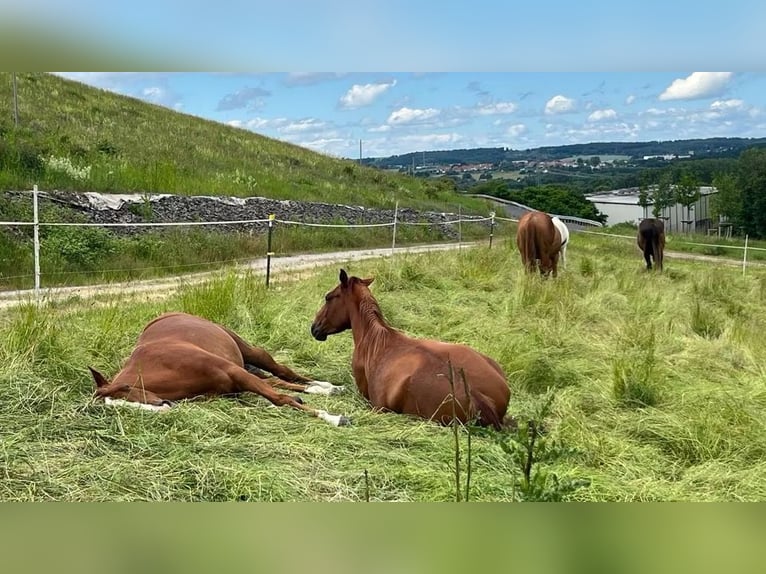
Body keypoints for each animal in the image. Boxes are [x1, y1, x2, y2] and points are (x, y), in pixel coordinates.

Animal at [89, 312, 349, 426]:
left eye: (129, 391)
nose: (163, 408)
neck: (165, 364)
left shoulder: (234, 372)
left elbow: (280, 398)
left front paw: (334, 417)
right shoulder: (233, 385)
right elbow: (278, 394)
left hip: (249, 352)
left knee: (284, 372)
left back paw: (329, 386)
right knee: (278, 380)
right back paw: (324, 390)